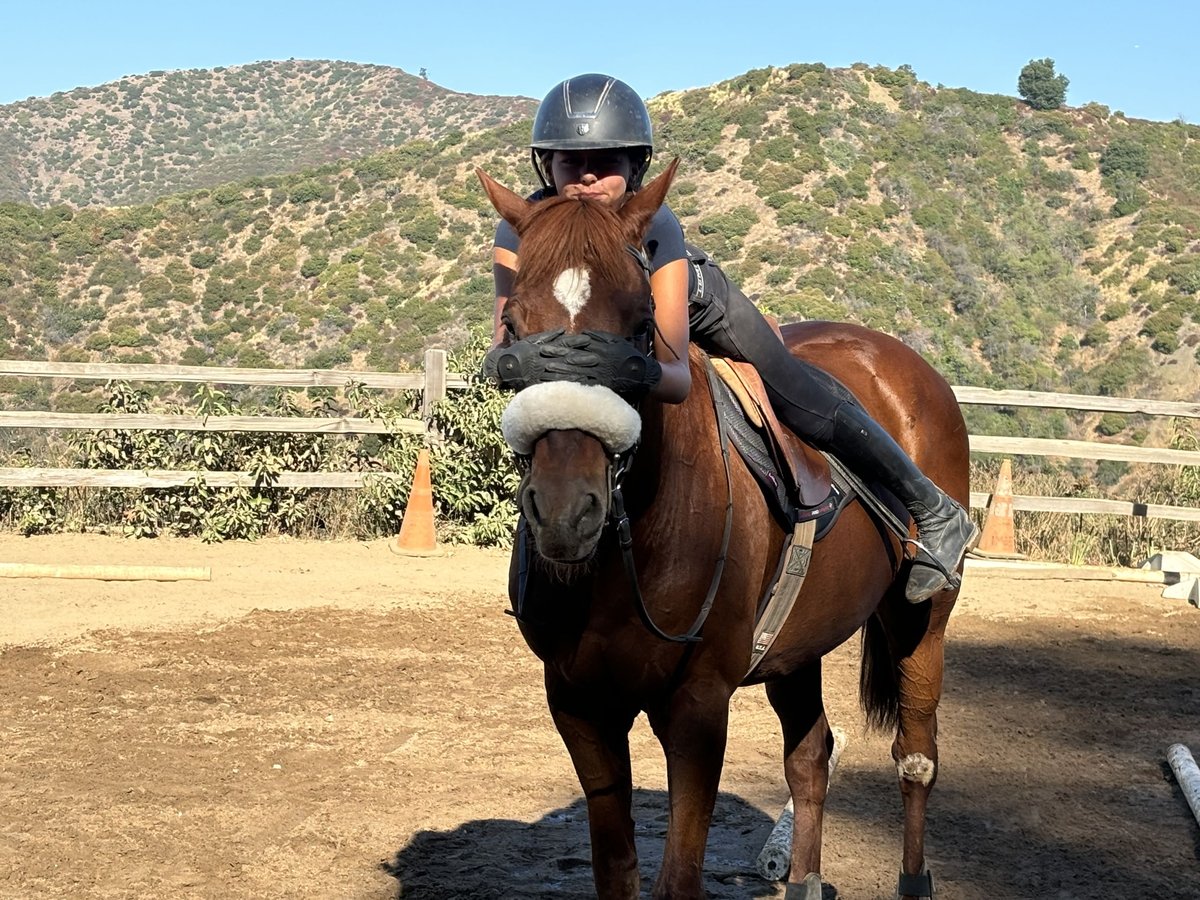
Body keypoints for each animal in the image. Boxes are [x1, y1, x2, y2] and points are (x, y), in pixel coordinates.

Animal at [472, 162, 969, 900]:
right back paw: (804, 880)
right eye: (513, 322)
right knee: (810, 757)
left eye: (642, 323)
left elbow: (679, 878)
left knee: (915, 757)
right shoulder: (579, 704)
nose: (566, 511)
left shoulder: (699, 708)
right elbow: (616, 870)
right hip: (798, 645)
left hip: (920, 625)